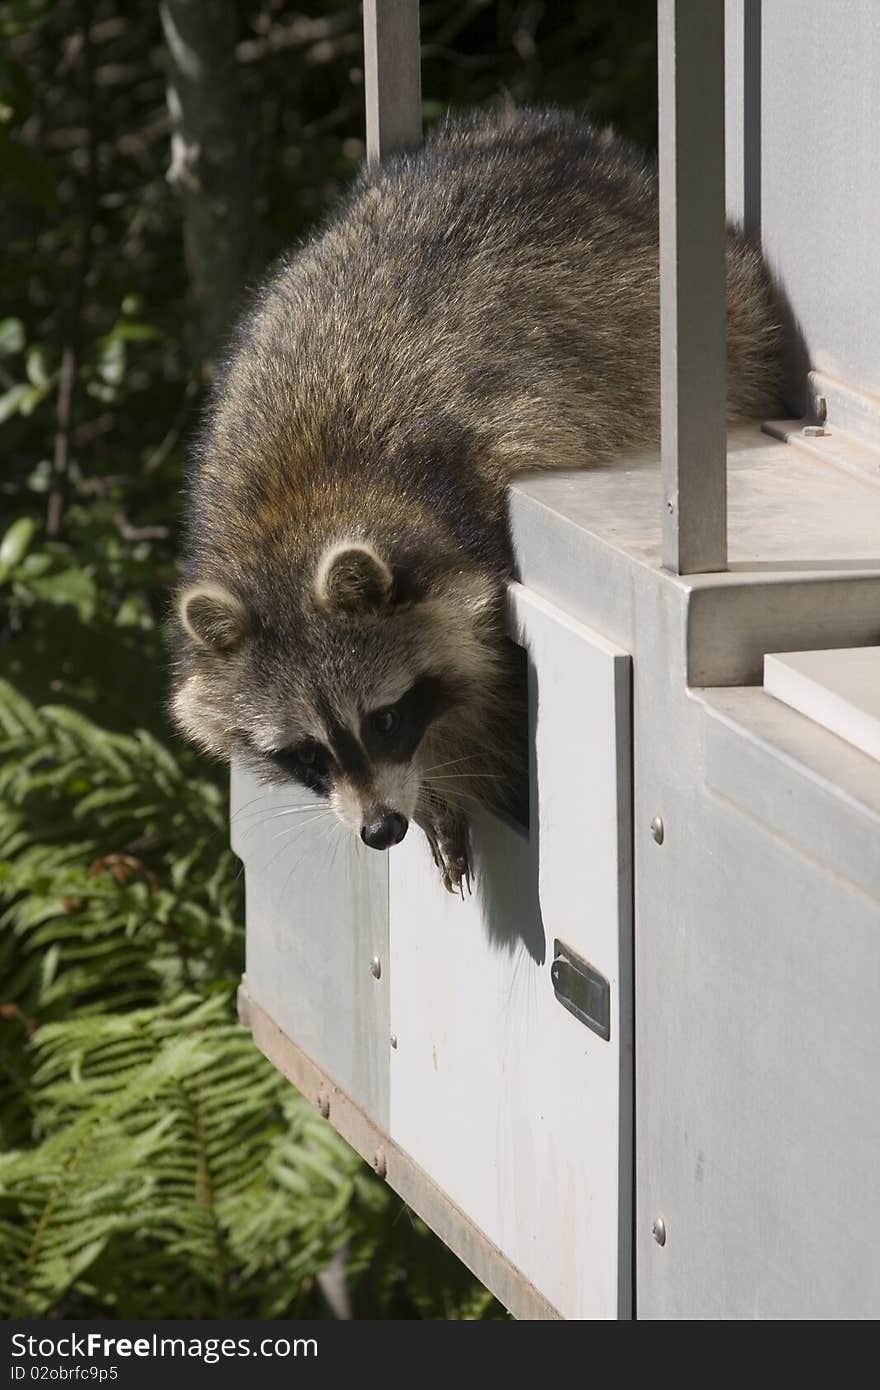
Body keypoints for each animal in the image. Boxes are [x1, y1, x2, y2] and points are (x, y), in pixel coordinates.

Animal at [168, 105, 778, 889]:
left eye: (385, 719)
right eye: (306, 753)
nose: (380, 828)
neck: (300, 508)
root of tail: (519, 125)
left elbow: (495, 696)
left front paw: (459, 777)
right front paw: (437, 797)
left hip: (721, 318)